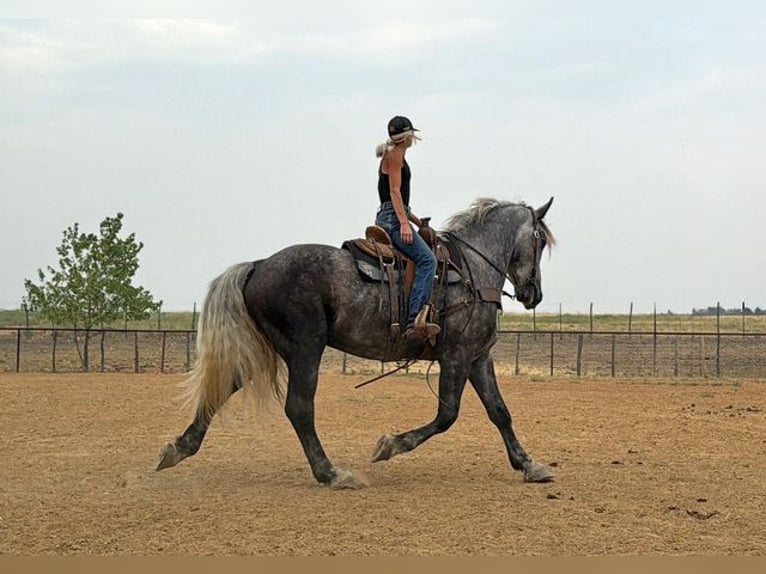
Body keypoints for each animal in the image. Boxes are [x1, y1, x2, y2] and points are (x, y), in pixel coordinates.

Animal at [157, 197, 556, 488]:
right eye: (539, 241)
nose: (534, 293)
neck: (471, 270)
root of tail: (259, 264)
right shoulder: (455, 356)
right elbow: (447, 415)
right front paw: (389, 446)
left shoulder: (477, 358)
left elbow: (500, 412)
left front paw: (530, 465)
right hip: (305, 348)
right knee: (299, 408)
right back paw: (331, 473)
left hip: (271, 350)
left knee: (224, 387)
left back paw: (179, 449)